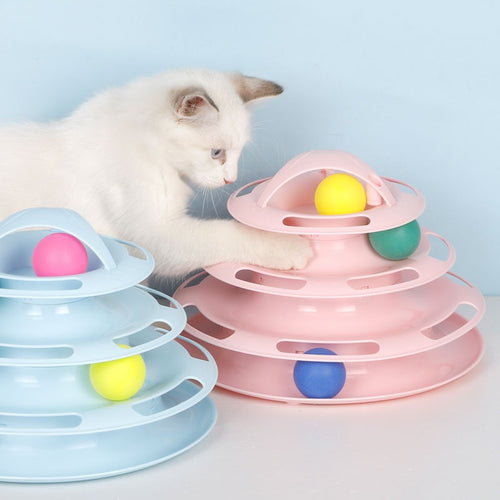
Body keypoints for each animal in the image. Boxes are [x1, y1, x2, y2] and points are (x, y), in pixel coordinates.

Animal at [0, 67, 310, 278]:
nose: (230, 179)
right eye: (216, 153)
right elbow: (229, 234)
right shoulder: (158, 236)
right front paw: (291, 247)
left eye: (239, 152)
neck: (153, 151)